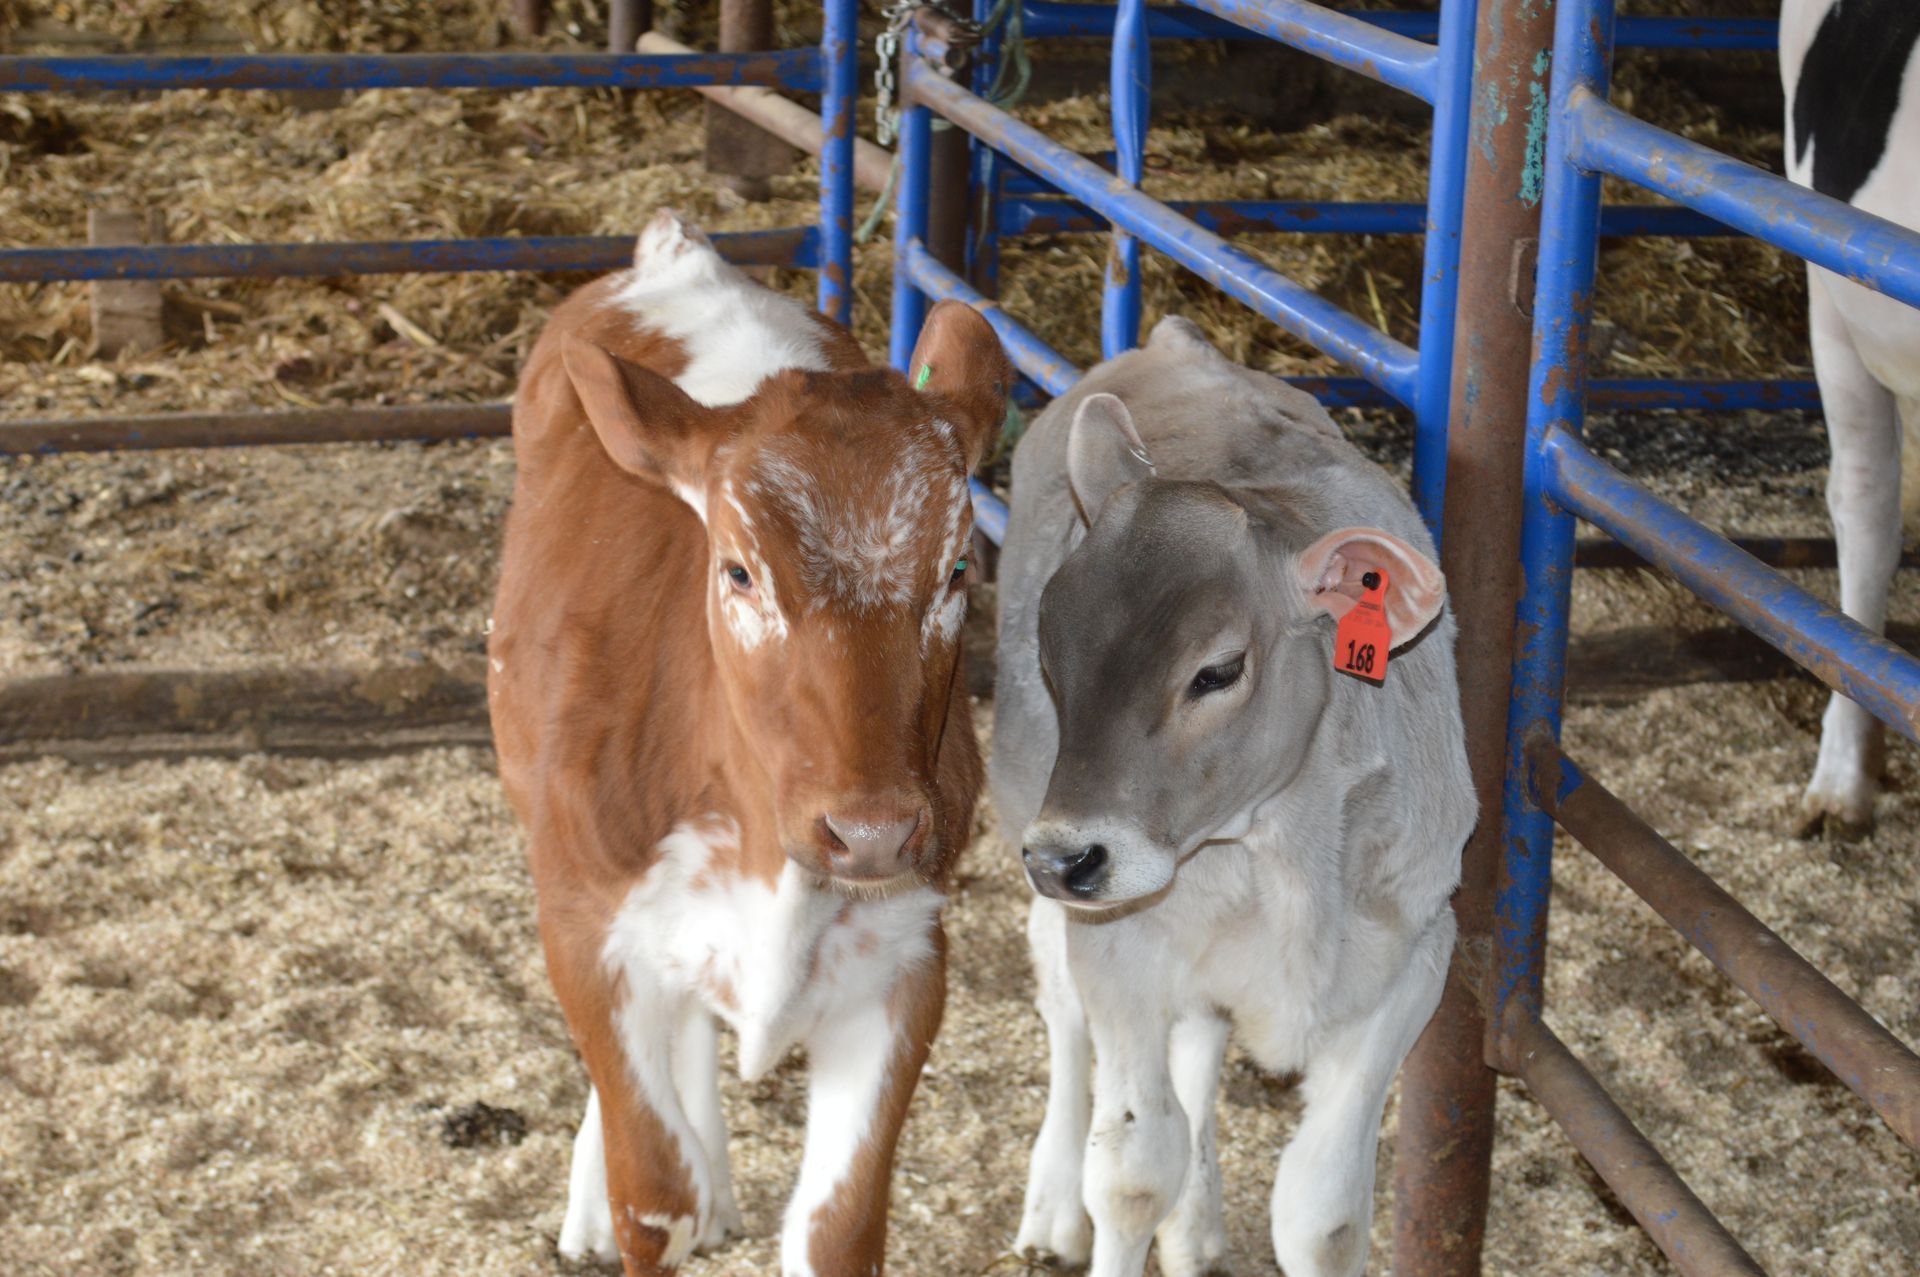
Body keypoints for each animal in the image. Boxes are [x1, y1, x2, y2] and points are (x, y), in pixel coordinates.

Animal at [487, 210, 1011, 1276]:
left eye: (953, 573)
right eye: (737, 570)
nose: (872, 831)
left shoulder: (905, 963)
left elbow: (838, 1225)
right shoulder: (585, 926)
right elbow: (656, 1192)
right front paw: (624, 1195)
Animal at [990, 318, 1473, 1277]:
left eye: (1216, 670)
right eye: (1052, 657)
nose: (1066, 855)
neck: (1285, 851)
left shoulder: (1415, 955)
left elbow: (1323, 1214)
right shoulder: (1121, 945)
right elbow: (1132, 1172)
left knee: (1201, 1045)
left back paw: (1198, 1229)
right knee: (1063, 1007)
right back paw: (1054, 1206)